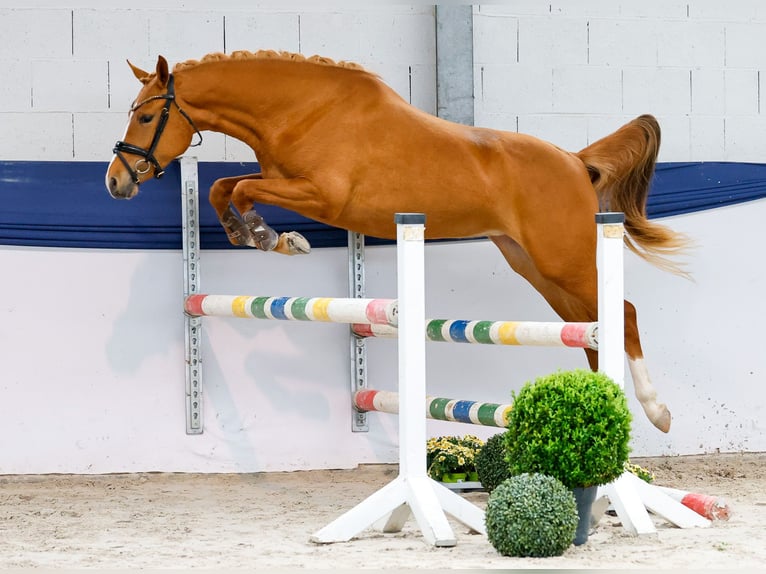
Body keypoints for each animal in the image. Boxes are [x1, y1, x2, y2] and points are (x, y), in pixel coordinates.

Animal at [105, 50, 690, 433]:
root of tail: (575, 160)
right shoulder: (289, 184)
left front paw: (273, 237)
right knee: (591, 332)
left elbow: (241, 187)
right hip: (536, 268)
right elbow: (223, 186)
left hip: (565, 259)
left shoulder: (321, 196)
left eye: (148, 115)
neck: (302, 111)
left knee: (624, 315)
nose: (116, 182)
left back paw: (656, 411)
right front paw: (255, 235)